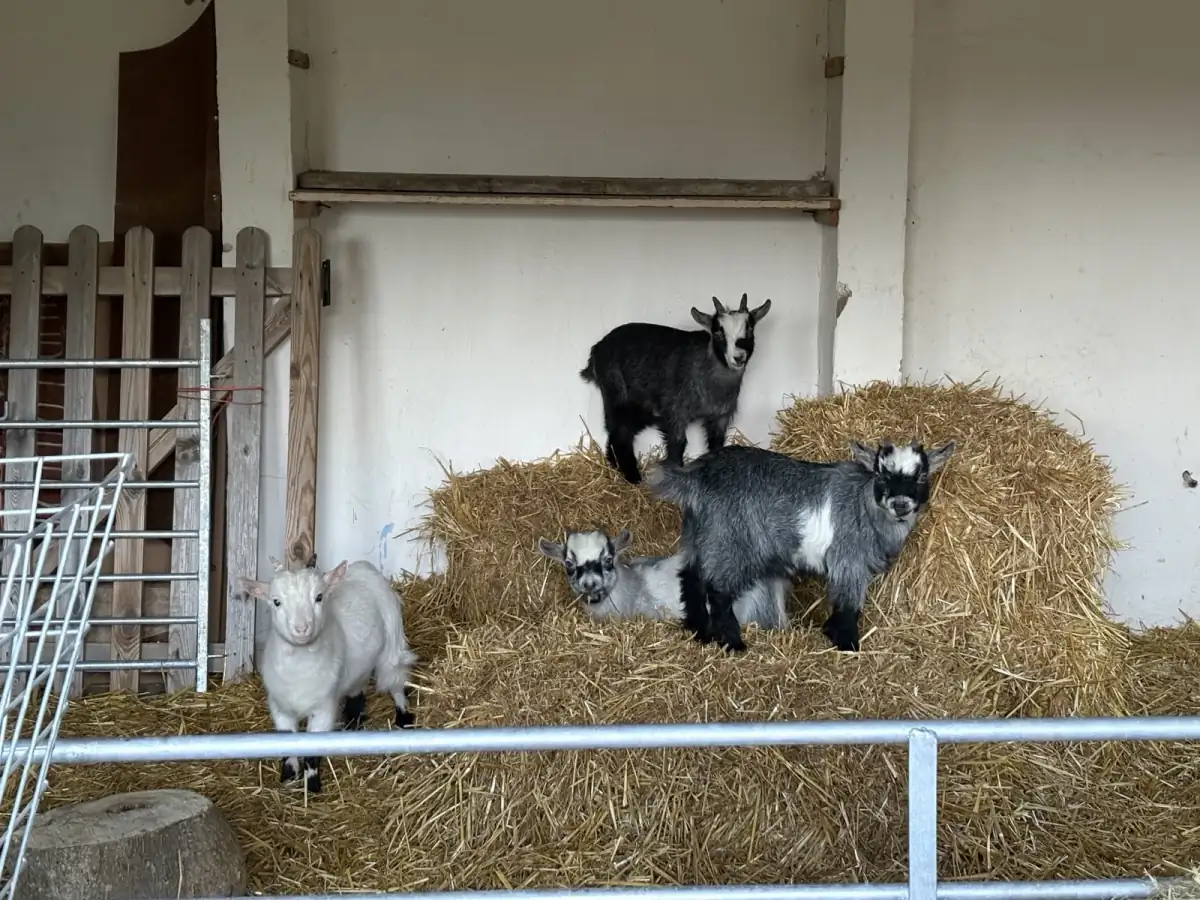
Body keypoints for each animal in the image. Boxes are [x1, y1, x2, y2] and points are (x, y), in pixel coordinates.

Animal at [241, 557, 418, 793]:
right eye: (276, 602)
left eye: (319, 597)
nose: (301, 629)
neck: (298, 671)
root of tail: (362, 566)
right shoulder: (280, 708)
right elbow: (286, 746)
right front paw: (288, 776)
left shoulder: (323, 709)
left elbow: (312, 753)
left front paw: (313, 786)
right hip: (358, 667)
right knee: (357, 692)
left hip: (393, 642)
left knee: (397, 682)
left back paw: (403, 717)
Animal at [579, 292, 772, 484]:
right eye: (717, 332)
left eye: (750, 329)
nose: (738, 357)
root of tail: (597, 350)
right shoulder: (675, 413)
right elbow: (677, 445)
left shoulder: (720, 417)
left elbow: (716, 445)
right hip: (616, 392)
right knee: (620, 434)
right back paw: (633, 478)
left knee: (617, 431)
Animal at [645, 439, 955, 653]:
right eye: (881, 474)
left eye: (922, 476)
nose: (901, 505)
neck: (864, 506)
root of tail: (696, 477)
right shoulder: (848, 560)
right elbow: (848, 604)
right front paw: (848, 644)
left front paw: (831, 633)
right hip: (731, 543)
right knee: (718, 591)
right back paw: (733, 643)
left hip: (700, 537)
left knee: (690, 578)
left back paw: (701, 633)